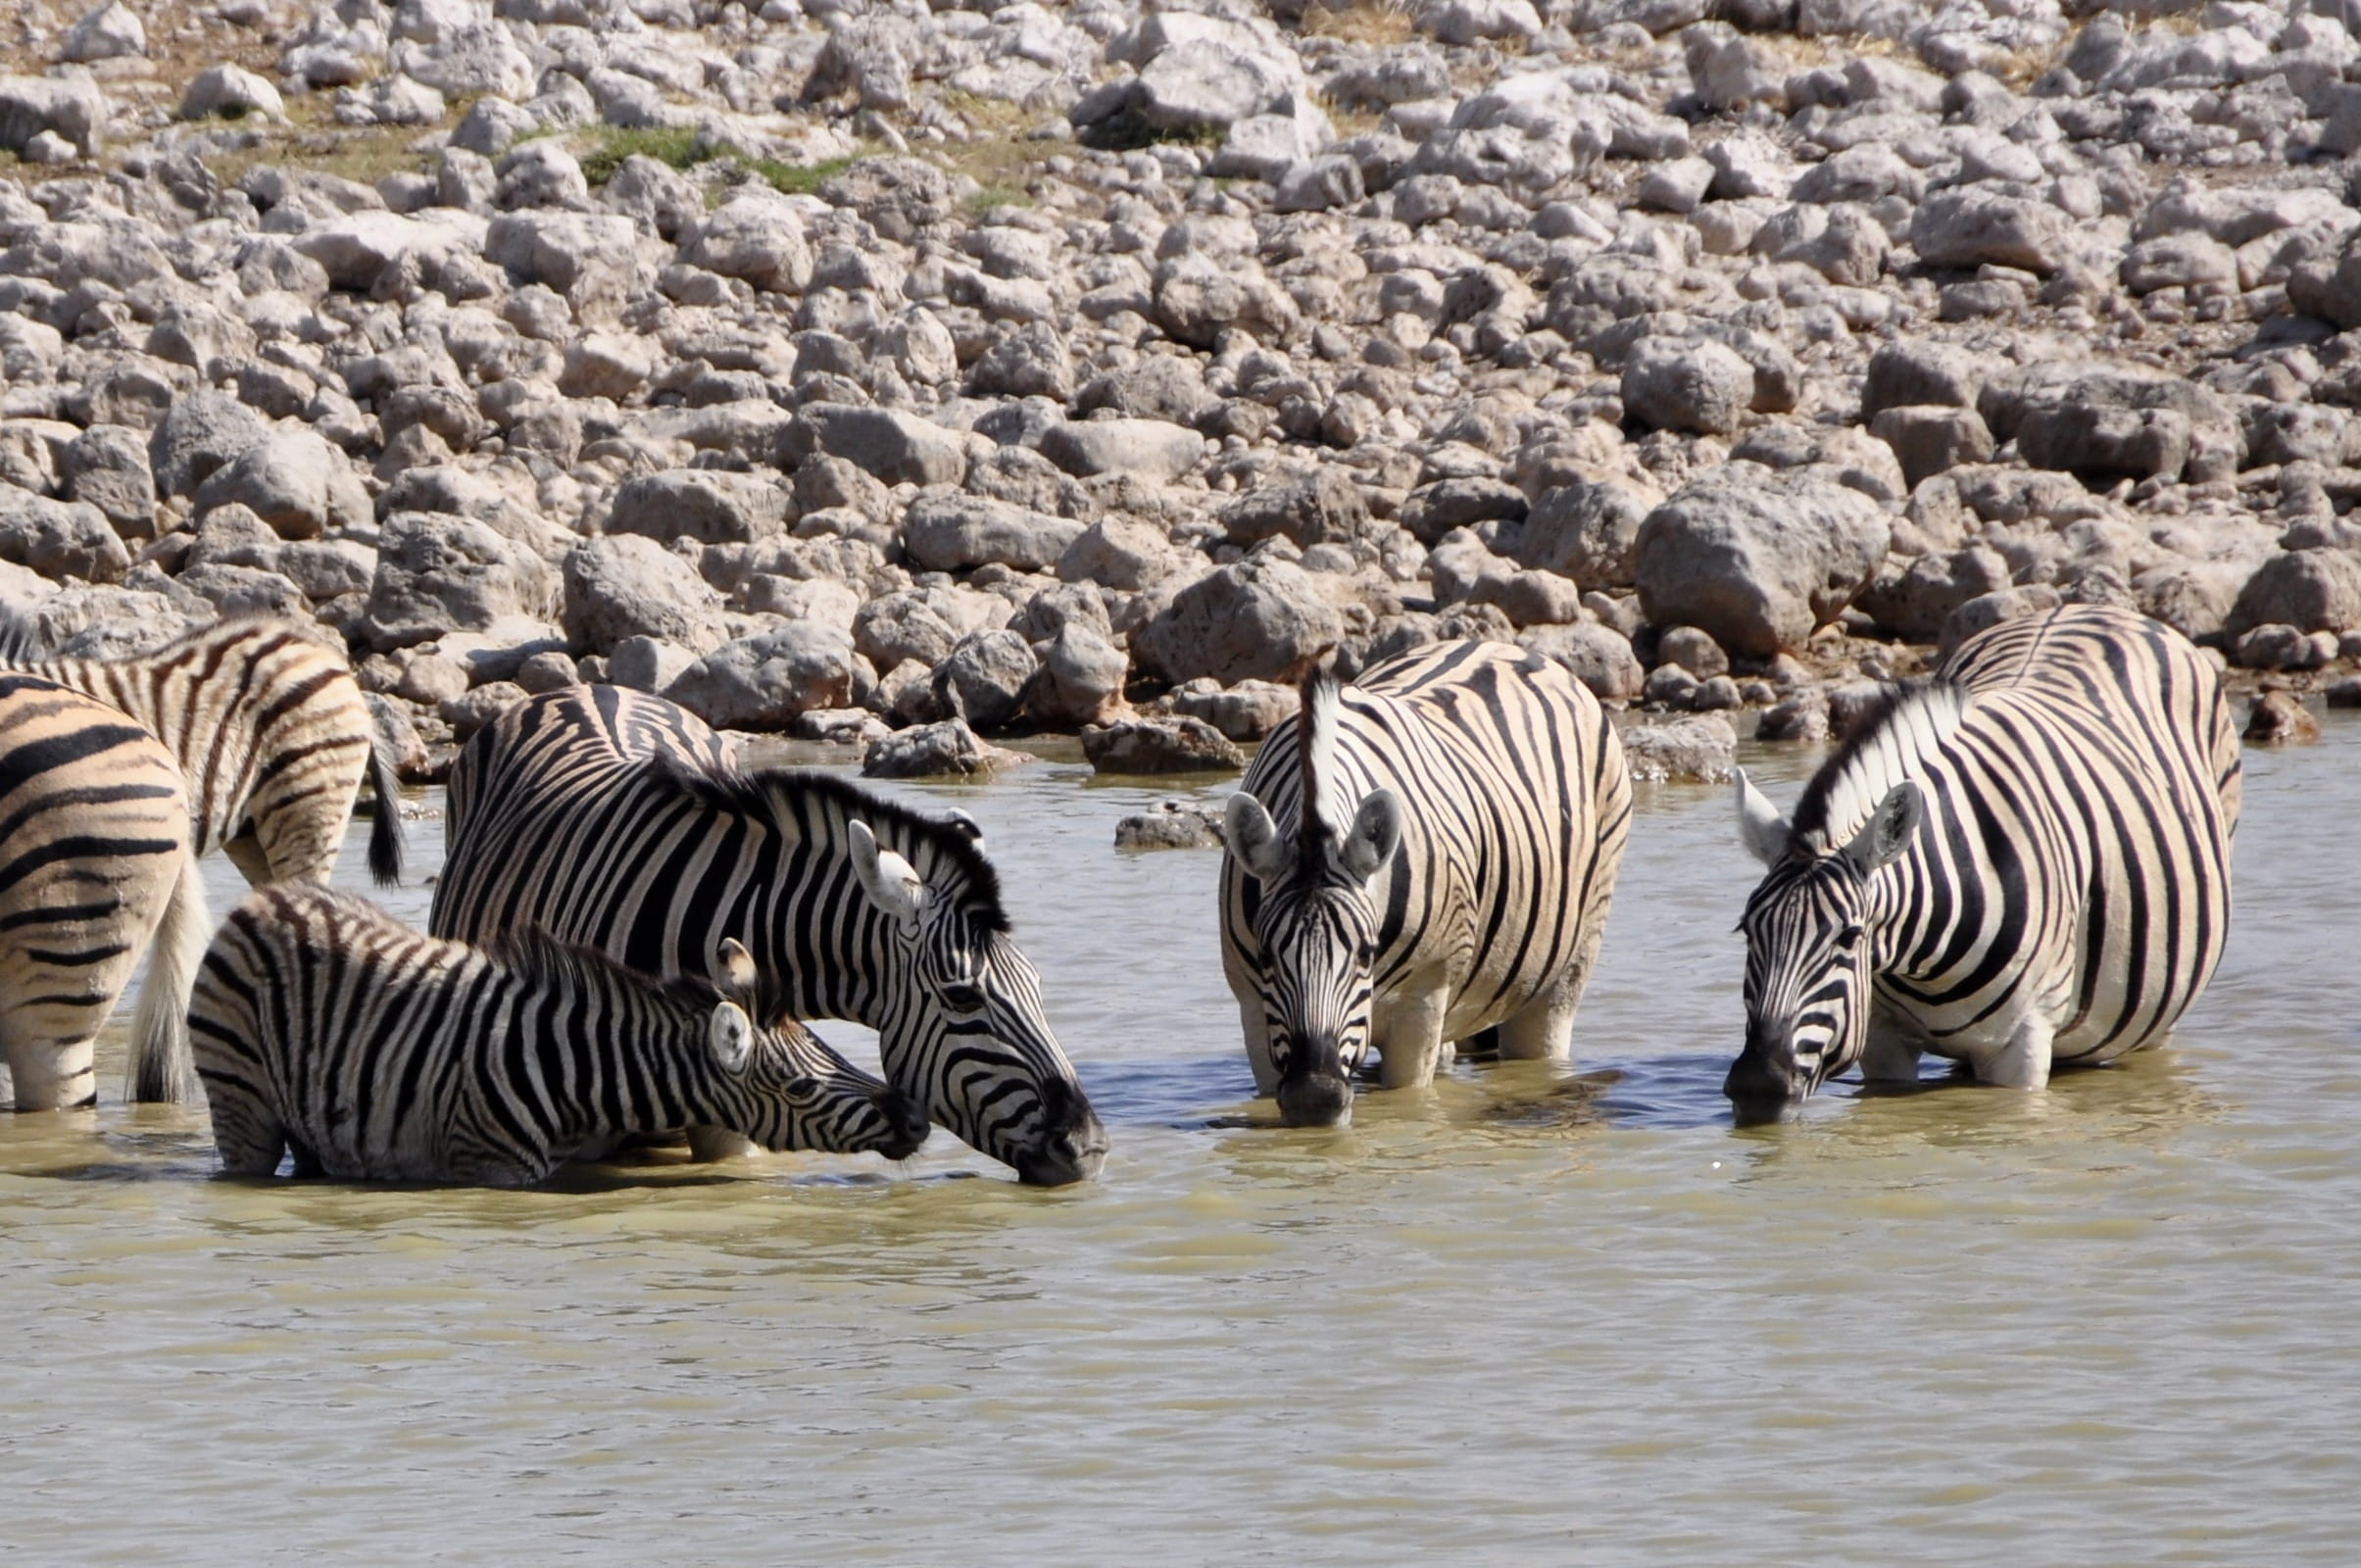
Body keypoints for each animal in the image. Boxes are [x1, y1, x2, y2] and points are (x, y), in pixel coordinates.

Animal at [189, 883, 930, 1186]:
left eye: (830, 1047)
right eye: (801, 1087)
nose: (919, 1119)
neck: (577, 1069)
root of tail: (268, 897)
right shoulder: (491, 1169)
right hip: (241, 1101)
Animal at [1219, 639, 1633, 1127]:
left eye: (1366, 953)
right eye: (1266, 955)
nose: (1313, 1099)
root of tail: (1499, 644)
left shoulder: (1421, 1004)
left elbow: (1412, 1107)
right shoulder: (1253, 1009)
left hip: (1568, 962)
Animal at [1727, 603, 2241, 1120]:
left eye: (1849, 938)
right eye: (1747, 930)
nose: (1757, 1086)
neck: (1920, 957)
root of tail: (2083, 606)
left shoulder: (2022, 1048)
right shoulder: (1881, 1041)